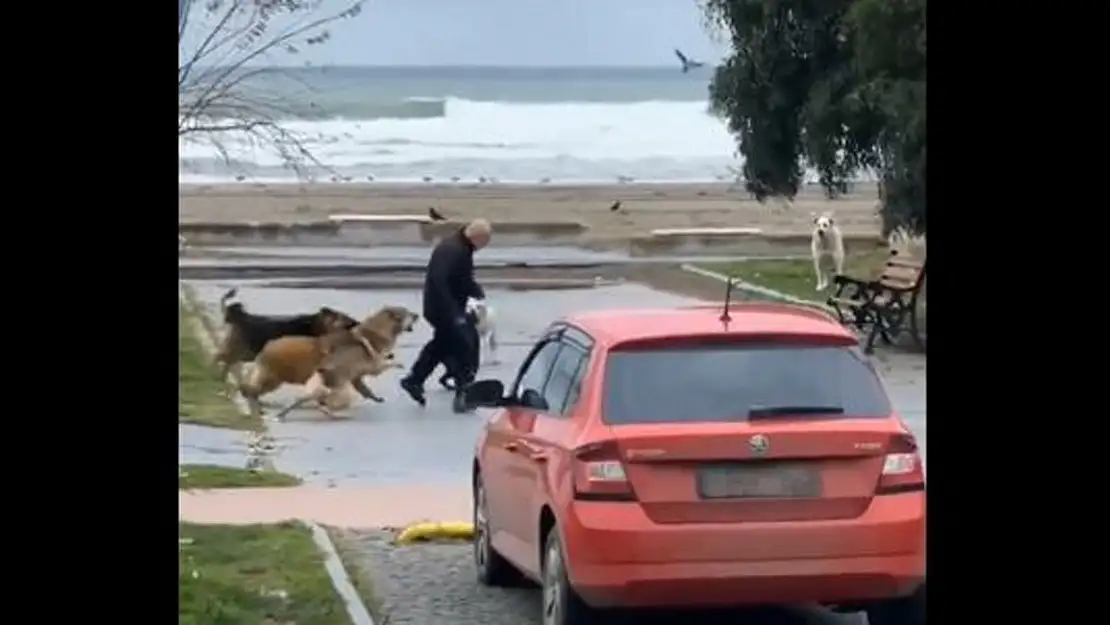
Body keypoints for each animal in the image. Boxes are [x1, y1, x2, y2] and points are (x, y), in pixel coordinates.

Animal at [214, 290, 357, 381]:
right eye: (346, 319)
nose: (357, 322)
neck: (318, 324)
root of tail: (240, 316)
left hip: (242, 352)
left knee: (223, 359)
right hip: (243, 351)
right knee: (221, 357)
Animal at [240, 304, 417, 417]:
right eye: (407, 313)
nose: (417, 315)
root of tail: (267, 347)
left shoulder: (355, 373)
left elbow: (362, 385)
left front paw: (373, 396)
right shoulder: (371, 365)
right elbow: (378, 368)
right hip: (274, 378)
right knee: (254, 389)